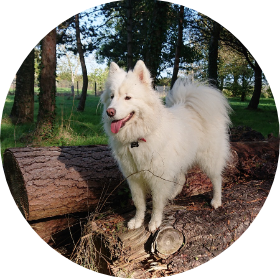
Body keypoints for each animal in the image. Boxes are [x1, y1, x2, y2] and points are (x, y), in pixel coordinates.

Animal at [100, 59, 232, 232]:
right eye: (112, 96)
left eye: (128, 97)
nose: (110, 112)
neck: (137, 139)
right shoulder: (134, 177)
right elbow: (139, 203)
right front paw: (137, 221)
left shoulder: (158, 178)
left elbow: (156, 203)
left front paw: (154, 222)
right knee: (182, 178)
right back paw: (172, 195)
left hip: (209, 159)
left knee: (217, 179)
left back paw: (216, 201)